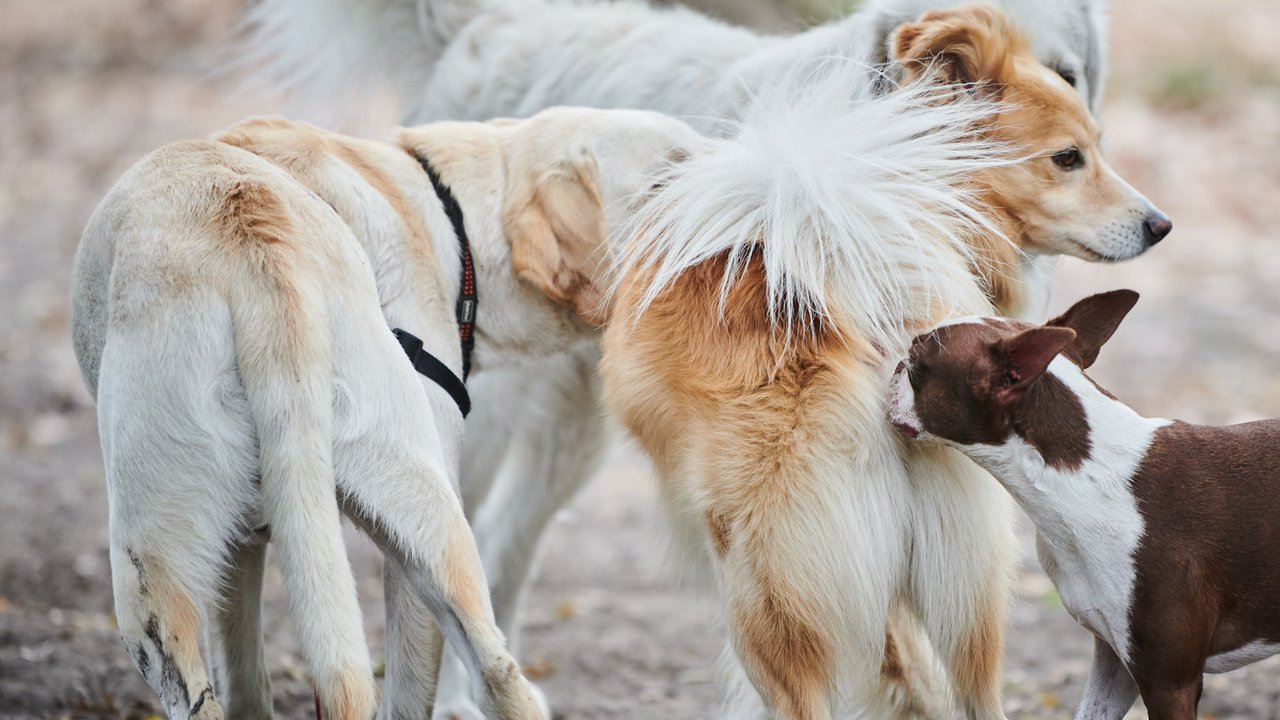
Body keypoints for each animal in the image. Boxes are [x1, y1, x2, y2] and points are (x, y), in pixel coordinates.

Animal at [68, 106, 706, 717]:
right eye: (664, 180)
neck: (449, 220)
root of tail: (262, 258)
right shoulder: (252, 540)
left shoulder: (249, 543)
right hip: (429, 527)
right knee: (496, 674)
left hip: (161, 573)